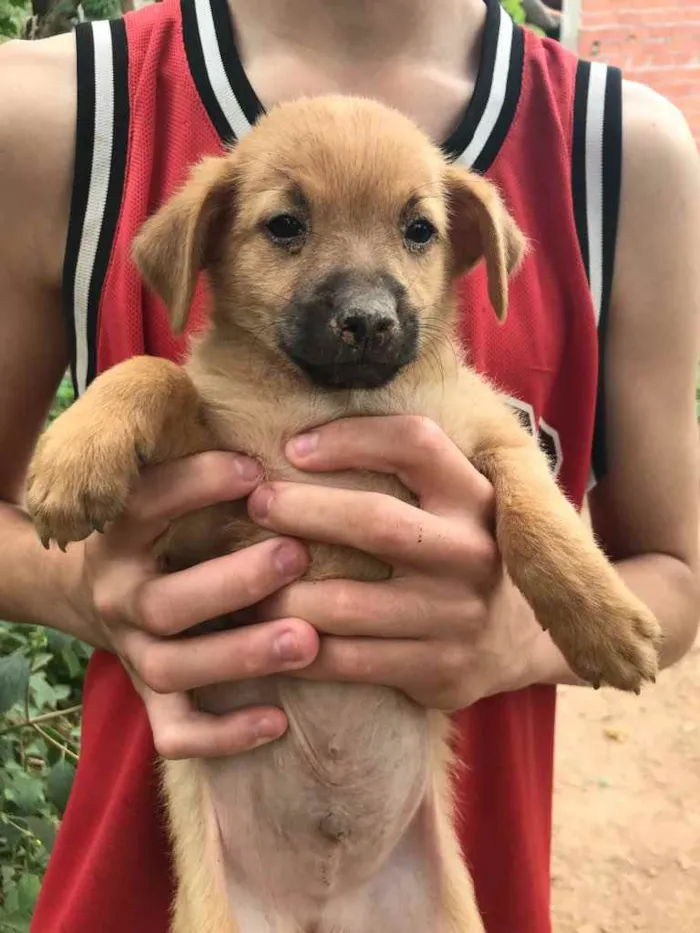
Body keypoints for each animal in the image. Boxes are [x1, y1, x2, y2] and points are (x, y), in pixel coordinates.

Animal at [27, 96, 660, 932]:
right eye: (285, 224)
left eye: (418, 229)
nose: (368, 321)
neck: (330, 400)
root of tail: (323, 908)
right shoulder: (206, 519)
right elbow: (154, 369)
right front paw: (75, 455)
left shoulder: (481, 431)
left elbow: (536, 506)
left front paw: (602, 618)